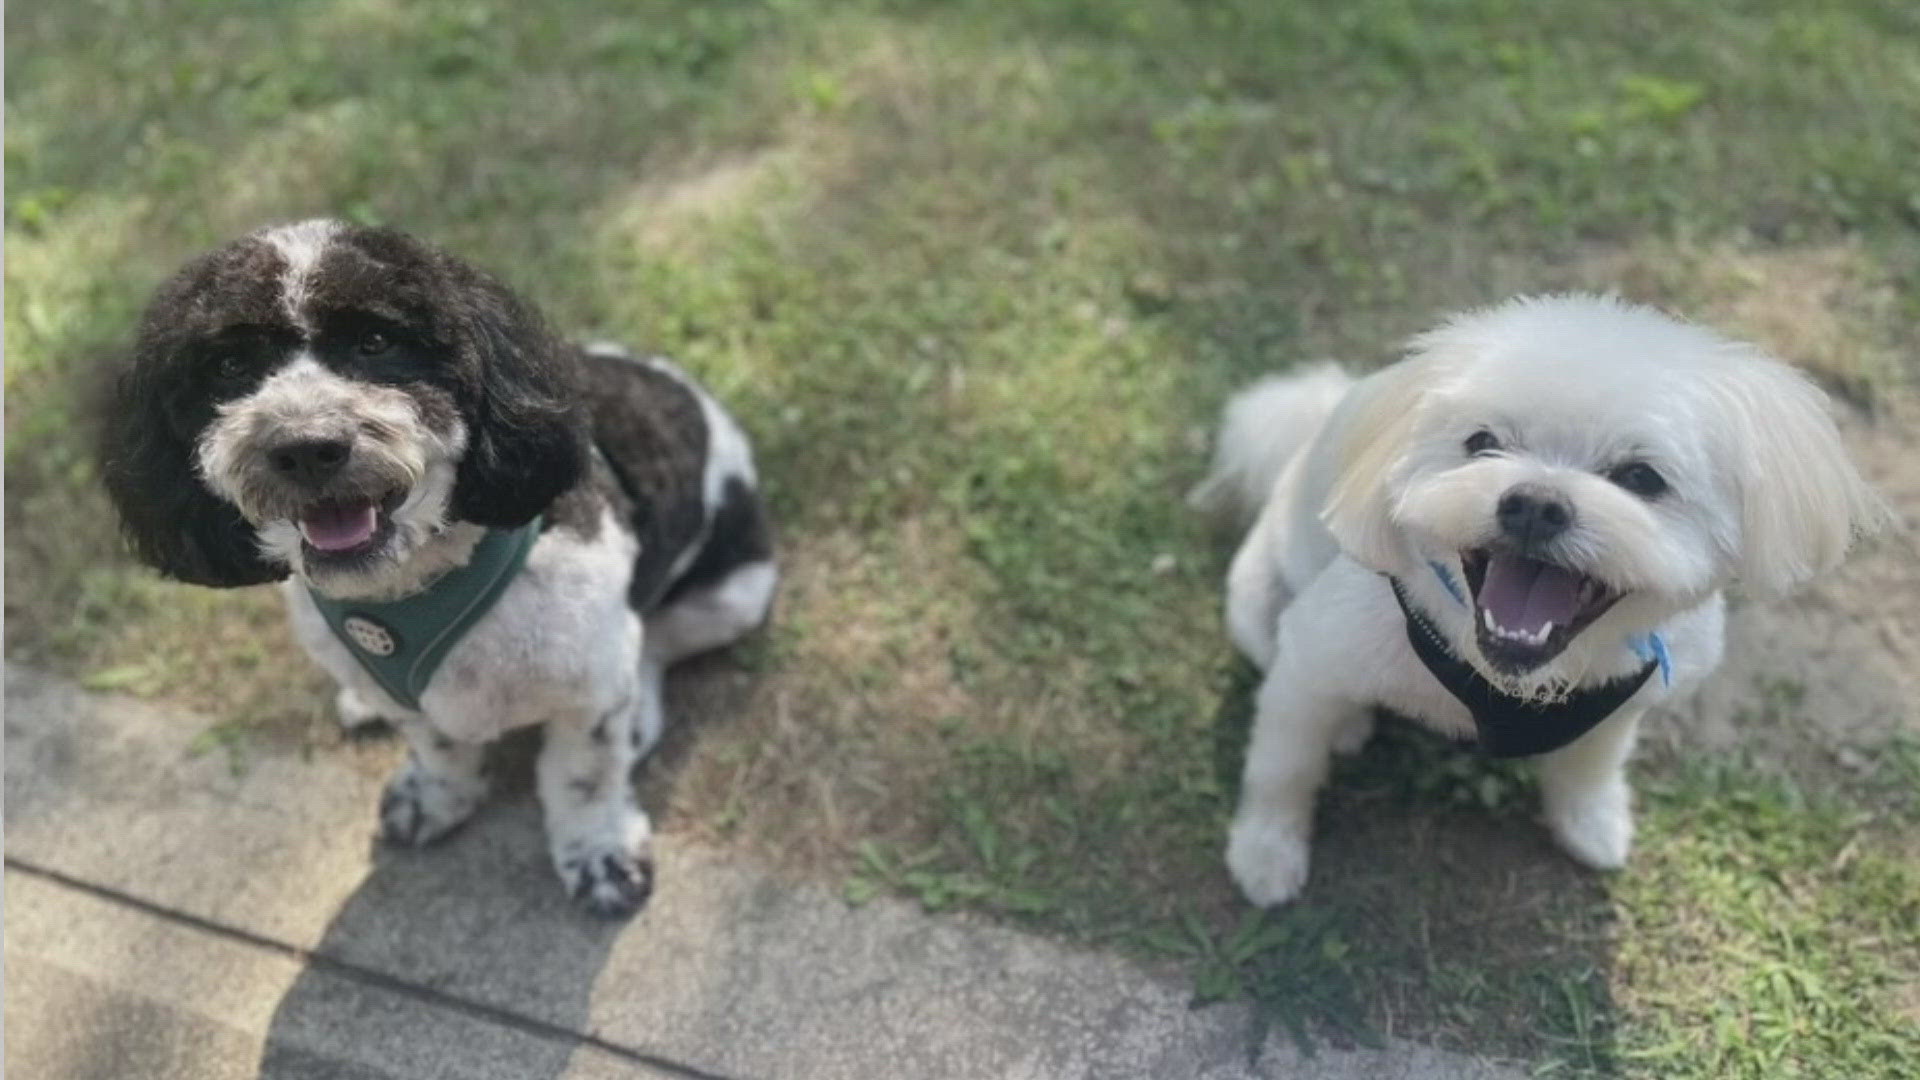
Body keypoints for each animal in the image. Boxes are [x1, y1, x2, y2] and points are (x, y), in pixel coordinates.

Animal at [101, 220, 775, 914]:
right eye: (230, 365)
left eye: (376, 341)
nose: (306, 447)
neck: (412, 588)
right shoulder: (408, 697)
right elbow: (439, 745)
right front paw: (437, 797)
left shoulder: (586, 693)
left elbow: (585, 777)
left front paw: (601, 852)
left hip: (735, 594)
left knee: (658, 644)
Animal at [1198, 292, 1889, 899]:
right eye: (1482, 442)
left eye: (1641, 477)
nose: (1534, 503)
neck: (1512, 684)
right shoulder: (1309, 665)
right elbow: (1282, 769)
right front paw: (1265, 854)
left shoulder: (1624, 700)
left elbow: (1591, 767)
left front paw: (1591, 826)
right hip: (1257, 605)